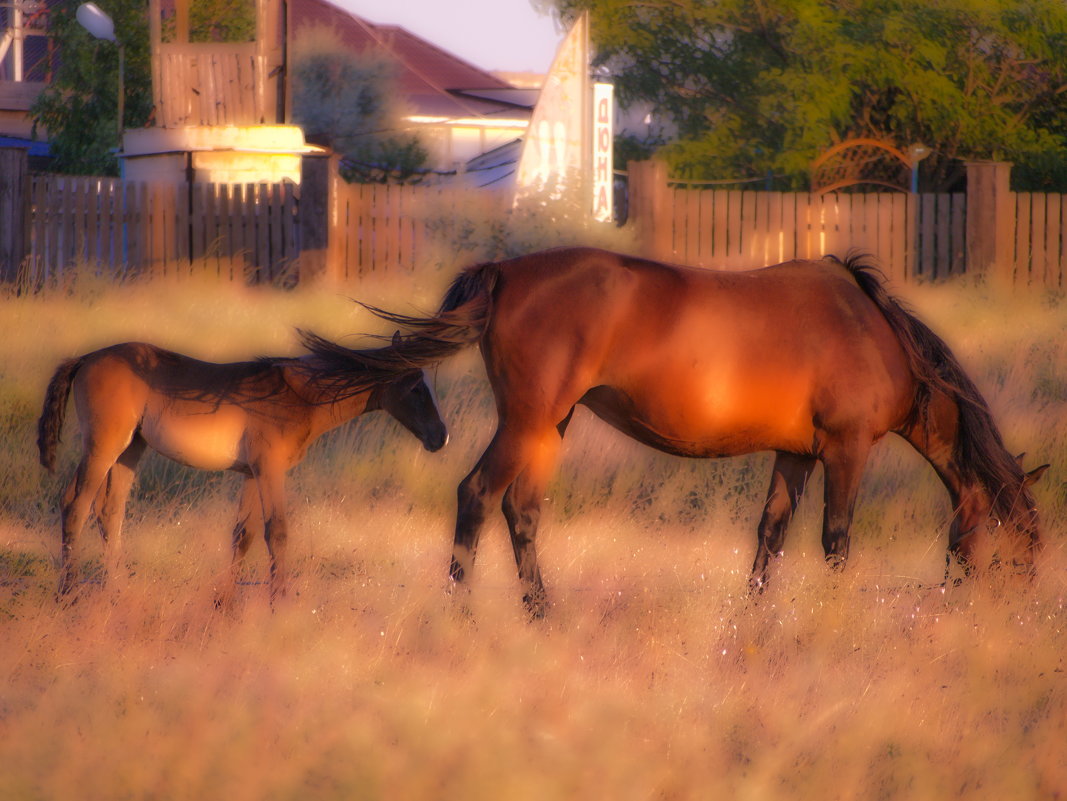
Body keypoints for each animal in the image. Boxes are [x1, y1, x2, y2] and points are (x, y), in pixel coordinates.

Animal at [37, 332, 446, 601]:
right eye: (415, 388)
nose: (440, 436)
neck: (300, 395)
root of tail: (85, 358)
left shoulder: (252, 473)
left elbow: (242, 536)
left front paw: (226, 603)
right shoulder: (270, 470)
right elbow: (276, 532)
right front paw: (279, 601)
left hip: (130, 450)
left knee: (109, 511)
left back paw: (116, 588)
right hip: (104, 448)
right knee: (76, 506)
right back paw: (68, 593)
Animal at [354, 247, 1045, 618]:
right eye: (1024, 546)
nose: (1011, 610)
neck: (874, 332)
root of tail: (506, 271)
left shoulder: (796, 455)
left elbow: (771, 537)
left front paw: (755, 621)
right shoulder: (846, 452)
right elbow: (837, 541)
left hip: (549, 428)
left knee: (521, 512)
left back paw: (542, 615)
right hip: (525, 424)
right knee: (477, 496)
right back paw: (463, 615)